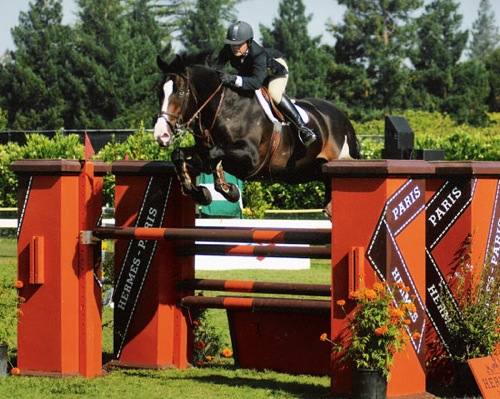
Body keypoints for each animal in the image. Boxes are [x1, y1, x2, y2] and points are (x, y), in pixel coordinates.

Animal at [153, 53, 360, 217]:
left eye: (180, 92)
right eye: (159, 93)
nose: (161, 135)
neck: (224, 109)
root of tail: (344, 120)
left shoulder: (250, 158)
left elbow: (213, 155)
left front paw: (226, 189)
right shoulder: (203, 148)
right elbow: (179, 154)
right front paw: (201, 192)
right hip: (311, 171)